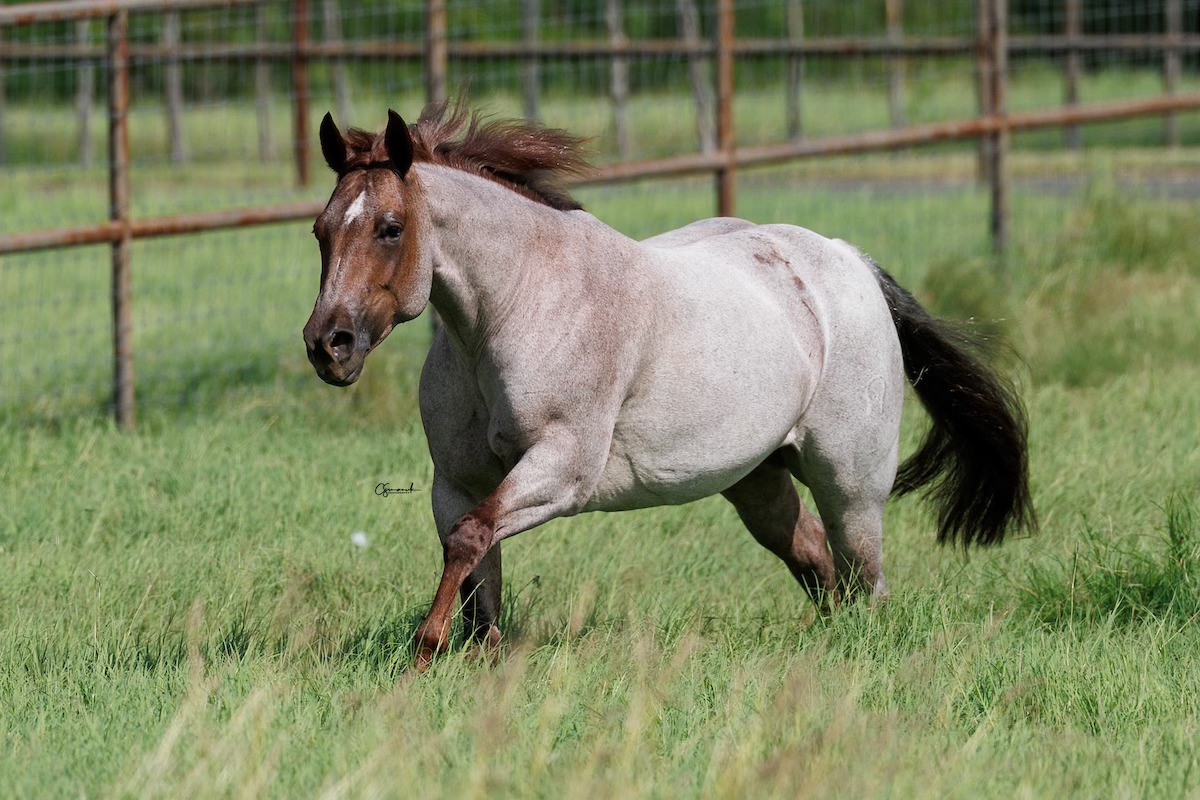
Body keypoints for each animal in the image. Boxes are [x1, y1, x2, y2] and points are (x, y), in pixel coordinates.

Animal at [303, 101, 1036, 668]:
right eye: (320, 230)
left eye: (390, 228)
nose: (328, 345)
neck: (513, 307)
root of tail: (849, 260)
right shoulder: (456, 482)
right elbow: (477, 572)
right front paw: (472, 659)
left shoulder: (562, 470)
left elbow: (469, 541)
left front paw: (424, 653)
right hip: (758, 478)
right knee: (815, 559)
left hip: (852, 484)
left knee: (865, 580)